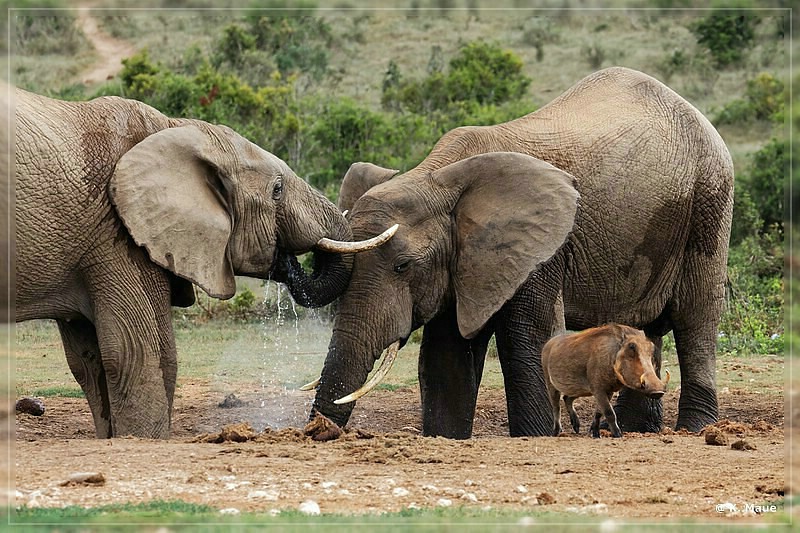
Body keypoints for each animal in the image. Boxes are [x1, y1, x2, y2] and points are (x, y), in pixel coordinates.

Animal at [13, 87, 394, 436]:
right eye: (277, 190)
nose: (287, 260)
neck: (175, 128)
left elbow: (91, 361)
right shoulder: (116, 234)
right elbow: (137, 353)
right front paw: (144, 441)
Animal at [310, 66, 736, 436]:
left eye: (402, 266)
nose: (318, 430)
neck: (436, 177)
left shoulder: (541, 252)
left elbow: (531, 340)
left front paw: (538, 436)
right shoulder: (463, 260)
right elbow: (446, 355)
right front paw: (446, 437)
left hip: (710, 201)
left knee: (696, 320)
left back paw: (697, 429)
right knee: (646, 328)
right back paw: (639, 431)